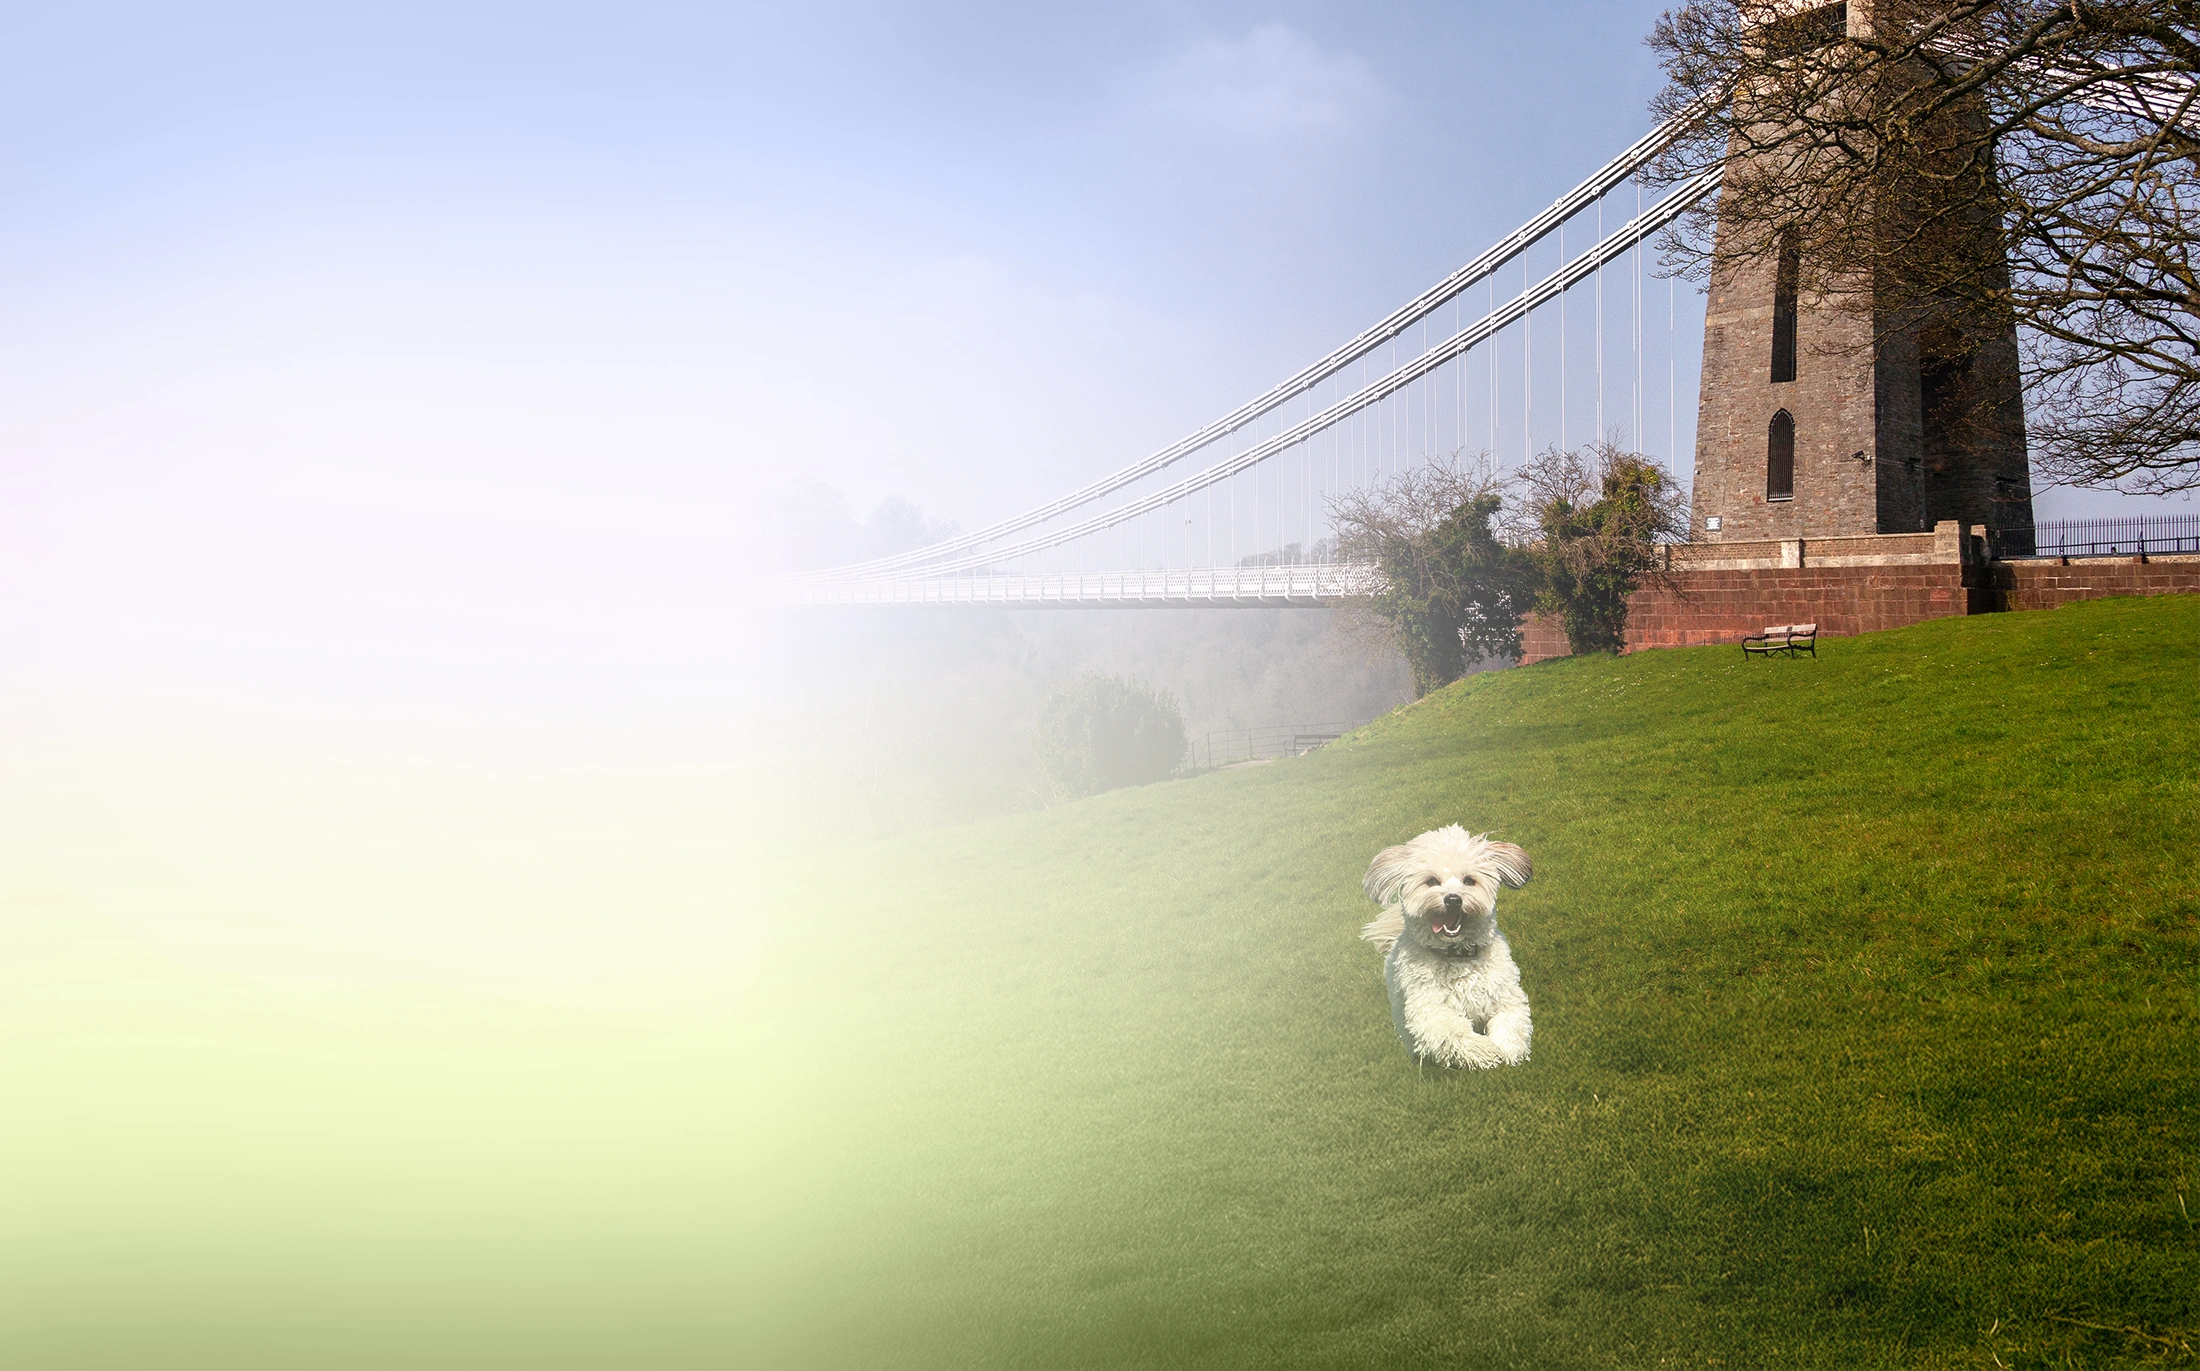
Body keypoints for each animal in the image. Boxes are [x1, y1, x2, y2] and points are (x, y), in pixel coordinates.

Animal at [1346, 827, 1540, 1073]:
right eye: (1431, 881)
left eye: (1469, 881)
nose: (1453, 899)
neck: (1457, 957)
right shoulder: (1428, 1010)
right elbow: (1454, 1032)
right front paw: (1487, 1051)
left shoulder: (1505, 996)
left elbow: (1510, 1024)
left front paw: (1508, 1053)